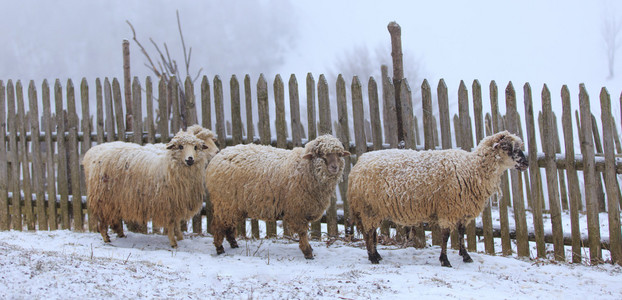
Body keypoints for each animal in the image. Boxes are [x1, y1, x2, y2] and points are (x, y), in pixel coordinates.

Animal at [83, 125, 219, 248]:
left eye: (196, 147)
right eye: (181, 146)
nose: (190, 159)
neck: (171, 163)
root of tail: (93, 153)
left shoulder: (177, 202)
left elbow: (176, 222)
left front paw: (180, 237)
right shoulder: (167, 203)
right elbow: (171, 223)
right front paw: (173, 242)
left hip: (115, 200)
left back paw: (121, 234)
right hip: (103, 198)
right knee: (102, 220)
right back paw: (106, 238)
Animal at [208, 135, 352, 258]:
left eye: (339, 155)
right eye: (321, 154)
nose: (334, 167)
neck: (305, 169)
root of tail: (217, 157)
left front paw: (308, 249)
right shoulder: (297, 211)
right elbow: (303, 233)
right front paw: (307, 252)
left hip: (232, 206)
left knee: (228, 226)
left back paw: (233, 244)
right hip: (224, 203)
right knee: (218, 225)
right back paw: (219, 248)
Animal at [348, 130, 528, 266]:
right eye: (506, 146)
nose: (526, 163)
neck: (473, 168)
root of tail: (358, 164)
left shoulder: (461, 210)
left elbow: (461, 233)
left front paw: (466, 256)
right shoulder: (448, 209)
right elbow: (446, 236)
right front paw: (445, 260)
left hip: (372, 209)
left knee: (371, 232)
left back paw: (377, 255)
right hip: (368, 207)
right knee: (368, 233)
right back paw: (372, 257)